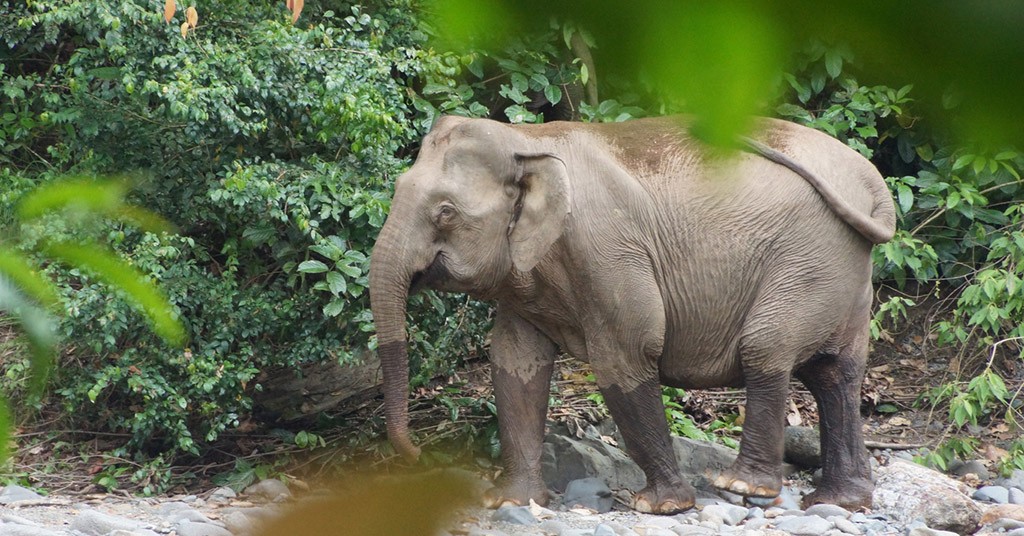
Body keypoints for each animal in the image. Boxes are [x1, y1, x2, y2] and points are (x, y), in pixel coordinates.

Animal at [368, 115, 897, 514]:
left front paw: (662, 507)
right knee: (835, 373)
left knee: (767, 350)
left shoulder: (609, 251)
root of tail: (871, 181)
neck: (528, 139)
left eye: (445, 212)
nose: (418, 454)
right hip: (842, 276)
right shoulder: (528, 280)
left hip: (808, 264)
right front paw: (510, 502)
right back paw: (840, 502)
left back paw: (743, 487)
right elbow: (514, 364)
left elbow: (625, 355)